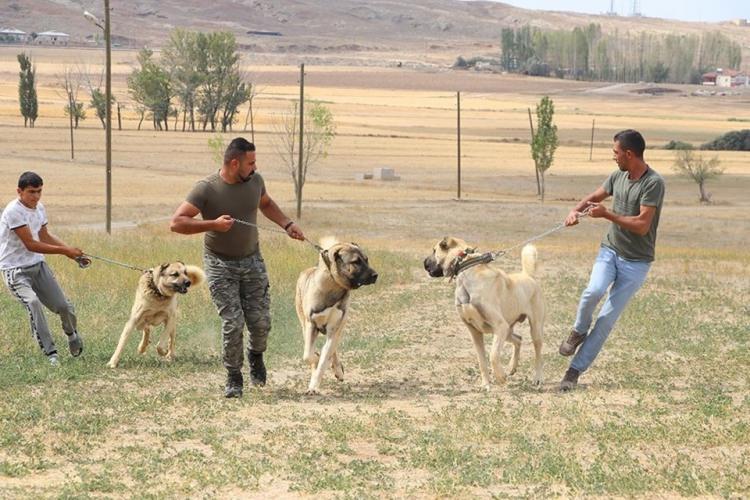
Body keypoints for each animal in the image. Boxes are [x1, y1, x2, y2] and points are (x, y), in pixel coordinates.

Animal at [296, 238, 378, 394]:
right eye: (356, 262)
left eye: (366, 259)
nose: (375, 275)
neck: (333, 286)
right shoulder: (311, 325)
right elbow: (308, 355)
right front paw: (316, 364)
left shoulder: (335, 327)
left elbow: (324, 357)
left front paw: (315, 384)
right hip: (304, 324)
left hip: (338, 327)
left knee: (332, 349)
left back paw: (338, 370)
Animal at [424, 238, 548, 390]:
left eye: (434, 250)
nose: (424, 263)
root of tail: (527, 275)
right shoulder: (475, 332)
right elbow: (481, 360)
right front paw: (485, 384)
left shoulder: (500, 326)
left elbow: (493, 356)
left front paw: (500, 377)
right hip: (507, 330)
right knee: (518, 339)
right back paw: (511, 367)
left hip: (532, 329)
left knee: (538, 353)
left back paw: (537, 378)